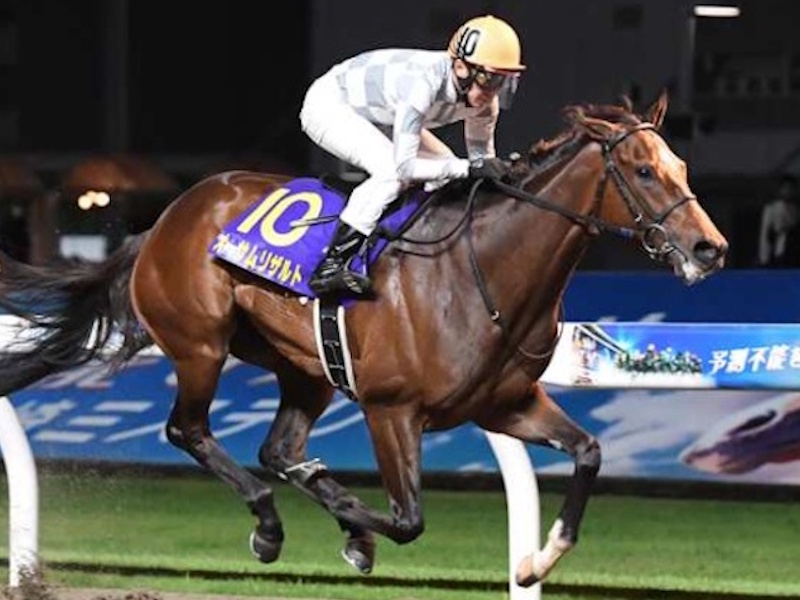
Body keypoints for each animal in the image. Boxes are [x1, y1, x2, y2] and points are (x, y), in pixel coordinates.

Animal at [0, 91, 727, 586]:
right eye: (642, 170)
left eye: (680, 164)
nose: (709, 249)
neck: (484, 270)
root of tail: (163, 221)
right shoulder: (391, 409)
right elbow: (407, 521)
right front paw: (355, 532)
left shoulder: (506, 404)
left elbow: (589, 453)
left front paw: (535, 561)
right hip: (200, 344)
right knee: (191, 431)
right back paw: (269, 524)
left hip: (304, 366)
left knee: (275, 447)